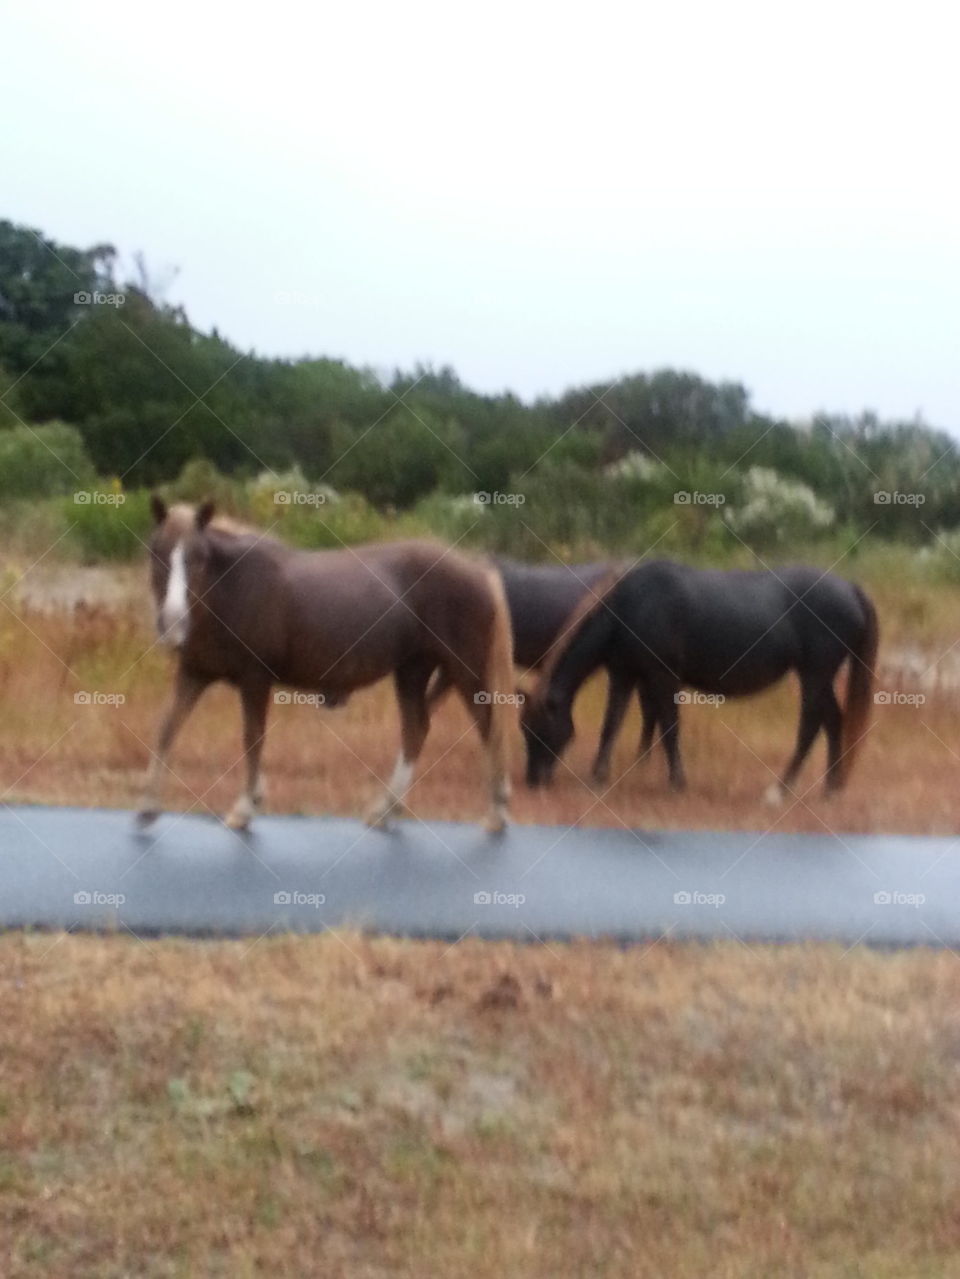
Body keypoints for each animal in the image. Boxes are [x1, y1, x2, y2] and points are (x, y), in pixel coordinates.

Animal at [138, 498, 515, 832]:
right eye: (156, 552)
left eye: (198, 558)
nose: (172, 624)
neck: (231, 586)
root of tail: (478, 570)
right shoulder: (194, 674)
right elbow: (167, 727)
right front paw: (148, 806)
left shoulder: (255, 679)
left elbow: (253, 738)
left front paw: (246, 807)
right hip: (413, 670)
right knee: (416, 729)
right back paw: (384, 809)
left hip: (466, 670)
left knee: (488, 727)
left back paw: (496, 812)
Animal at [520, 559, 878, 799]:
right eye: (524, 729)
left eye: (540, 730)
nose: (532, 781)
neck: (630, 606)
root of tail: (850, 588)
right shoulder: (624, 674)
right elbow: (612, 723)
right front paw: (598, 777)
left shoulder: (662, 677)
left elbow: (669, 728)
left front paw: (676, 782)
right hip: (821, 677)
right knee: (834, 721)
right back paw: (831, 787)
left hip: (814, 674)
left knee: (811, 725)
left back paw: (781, 789)